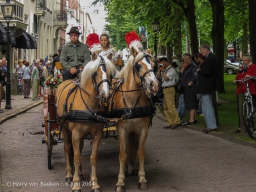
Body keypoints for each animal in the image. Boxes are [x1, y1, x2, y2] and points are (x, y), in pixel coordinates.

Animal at [55, 56, 116, 192]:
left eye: (110, 74)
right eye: (95, 73)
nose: (105, 95)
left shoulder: (97, 134)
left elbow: (92, 158)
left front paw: (94, 184)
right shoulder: (75, 134)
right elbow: (76, 158)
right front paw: (76, 184)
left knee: (79, 149)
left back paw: (80, 174)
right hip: (65, 129)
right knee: (67, 148)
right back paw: (69, 175)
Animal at [108, 48, 158, 191]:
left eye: (154, 65)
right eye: (138, 66)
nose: (154, 85)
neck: (131, 101)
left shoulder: (143, 130)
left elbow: (140, 153)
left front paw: (142, 179)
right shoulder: (121, 130)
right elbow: (122, 155)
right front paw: (120, 182)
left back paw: (134, 168)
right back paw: (125, 170)